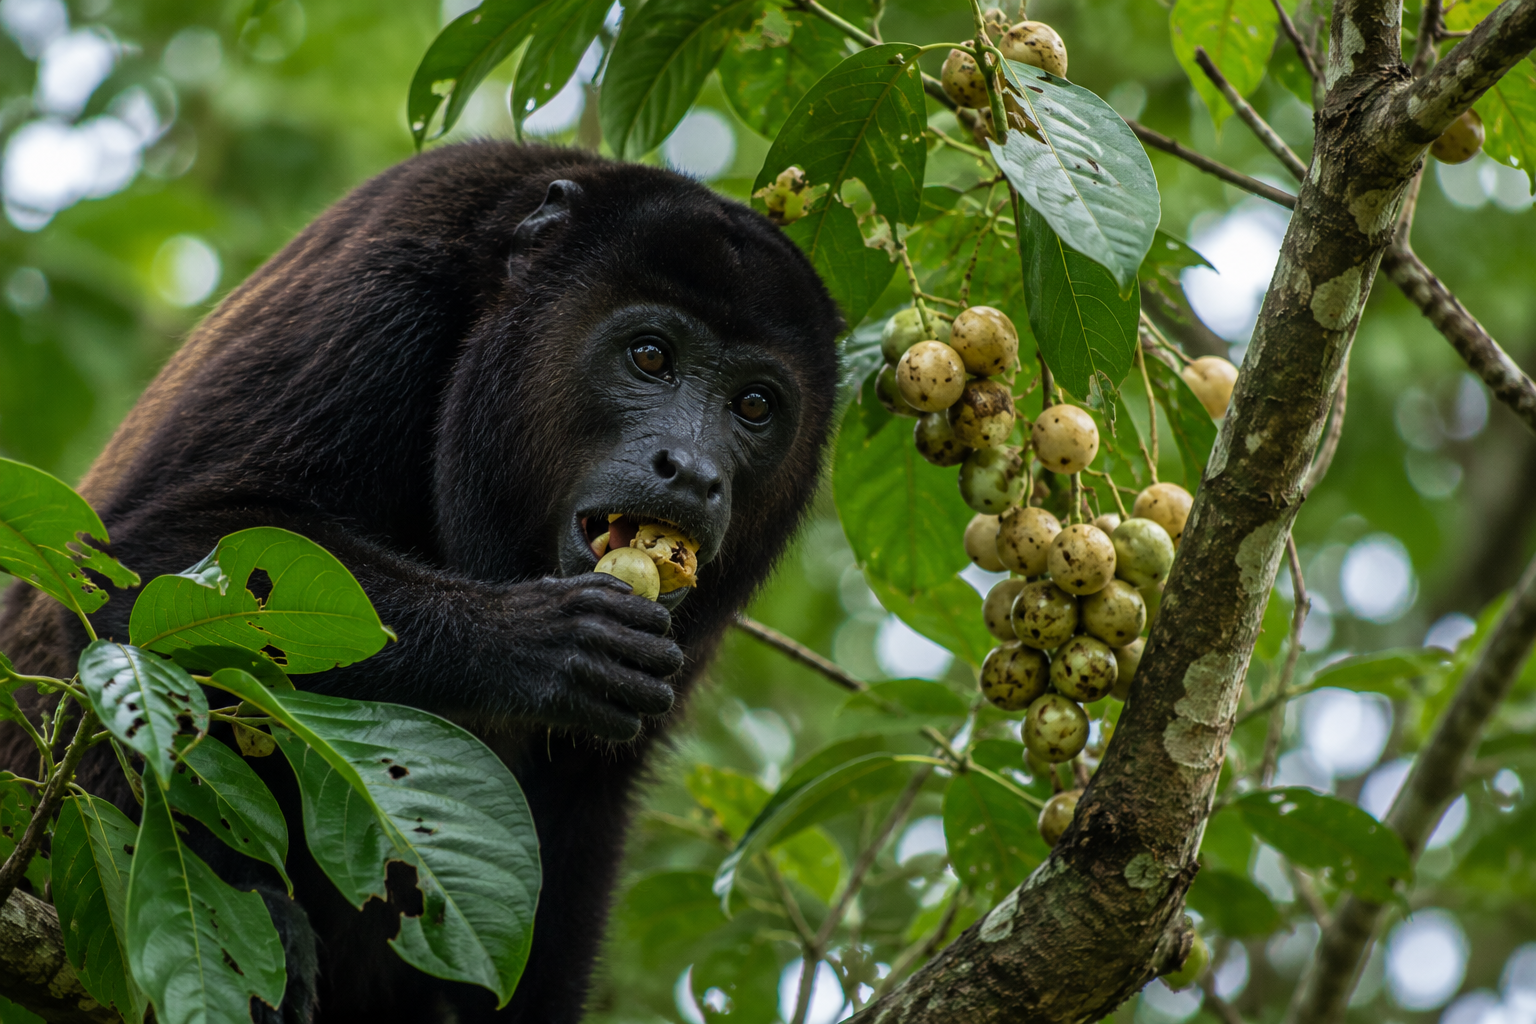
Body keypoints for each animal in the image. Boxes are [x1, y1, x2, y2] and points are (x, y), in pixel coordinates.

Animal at [0, 140, 844, 1022]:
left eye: (755, 405)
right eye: (650, 355)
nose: (694, 471)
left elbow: (586, 799)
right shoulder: (381, 288)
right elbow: (146, 556)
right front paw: (542, 645)